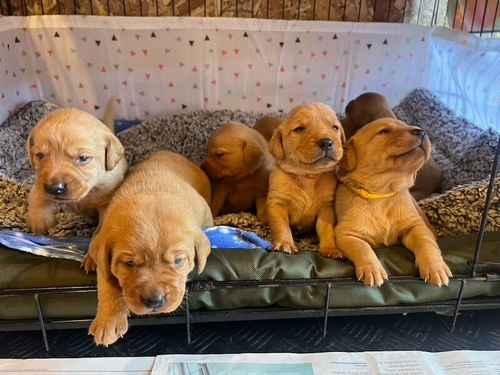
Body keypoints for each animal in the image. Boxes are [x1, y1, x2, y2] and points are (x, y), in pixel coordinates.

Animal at [25, 101, 128, 234]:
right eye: (40, 155)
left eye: (83, 158)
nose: (55, 188)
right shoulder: (40, 184)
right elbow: (38, 195)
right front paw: (40, 222)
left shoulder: (107, 197)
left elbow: (104, 220)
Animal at [87, 151, 212, 348]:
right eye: (129, 263)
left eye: (179, 261)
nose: (155, 301)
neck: (152, 188)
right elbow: (107, 282)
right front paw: (107, 321)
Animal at [268, 102, 346, 258]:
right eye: (299, 129)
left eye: (335, 127)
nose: (327, 142)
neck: (308, 176)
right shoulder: (277, 203)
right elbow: (281, 225)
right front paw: (285, 243)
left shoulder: (326, 208)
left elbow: (327, 229)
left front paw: (330, 248)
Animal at [336, 119, 454, 290]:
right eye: (384, 131)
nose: (422, 131)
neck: (383, 194)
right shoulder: (346, 233)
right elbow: (362, 248)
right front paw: (372, 269)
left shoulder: (416, 226)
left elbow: (426, 243)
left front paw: (436, 268)